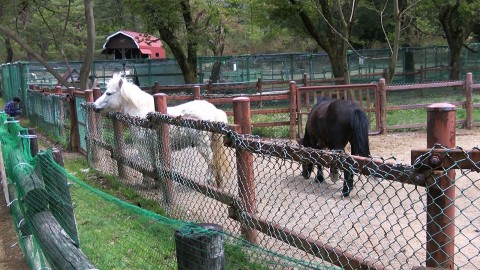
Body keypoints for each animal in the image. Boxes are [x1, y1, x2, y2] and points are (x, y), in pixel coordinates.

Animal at [93, 74, 232, 188]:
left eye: (108, 93)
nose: (94, 106)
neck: (142, 115)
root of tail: (213, 110)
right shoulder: (152, 148)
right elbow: (153, 165)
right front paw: (157, 181)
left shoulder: (143, 146)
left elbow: (146, 164)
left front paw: (146, 182)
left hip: (203, 146)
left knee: (211, 162)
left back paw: (209, 180)